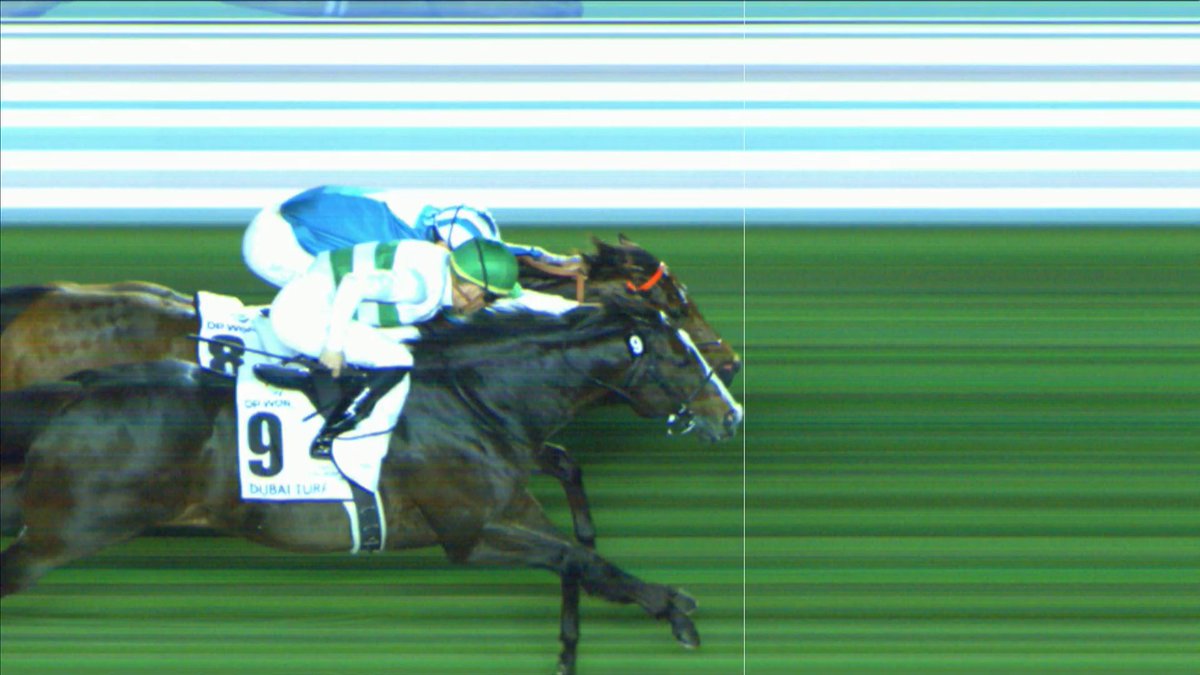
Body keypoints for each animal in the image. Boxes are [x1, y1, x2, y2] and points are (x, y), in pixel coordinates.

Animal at [0, 296, 742, 675]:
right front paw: (676, 608)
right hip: (64, 531)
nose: (730, 413)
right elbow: (580, 557)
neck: (478, 393)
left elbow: (578, 554)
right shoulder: (469, 534)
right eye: (682, 357)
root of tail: (75, 391)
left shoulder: (511, 507)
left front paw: (574, 644)